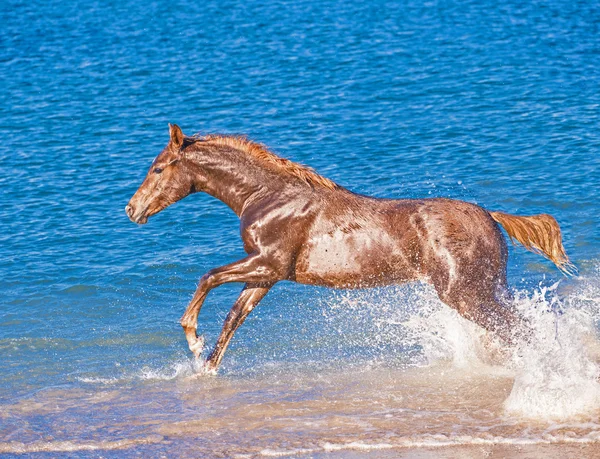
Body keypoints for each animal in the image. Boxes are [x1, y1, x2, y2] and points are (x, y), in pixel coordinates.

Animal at [124, 124, 576, 372]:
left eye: (158, 169)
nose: (132, 209)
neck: (268, 196)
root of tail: (491, 217)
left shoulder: (266, 264)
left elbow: (208, 277)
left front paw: (192, 340)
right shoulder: (266, 276)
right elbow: (233, 319)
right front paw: (205, 368)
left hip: (464, 293)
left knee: (518, 330)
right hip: (486, 288)